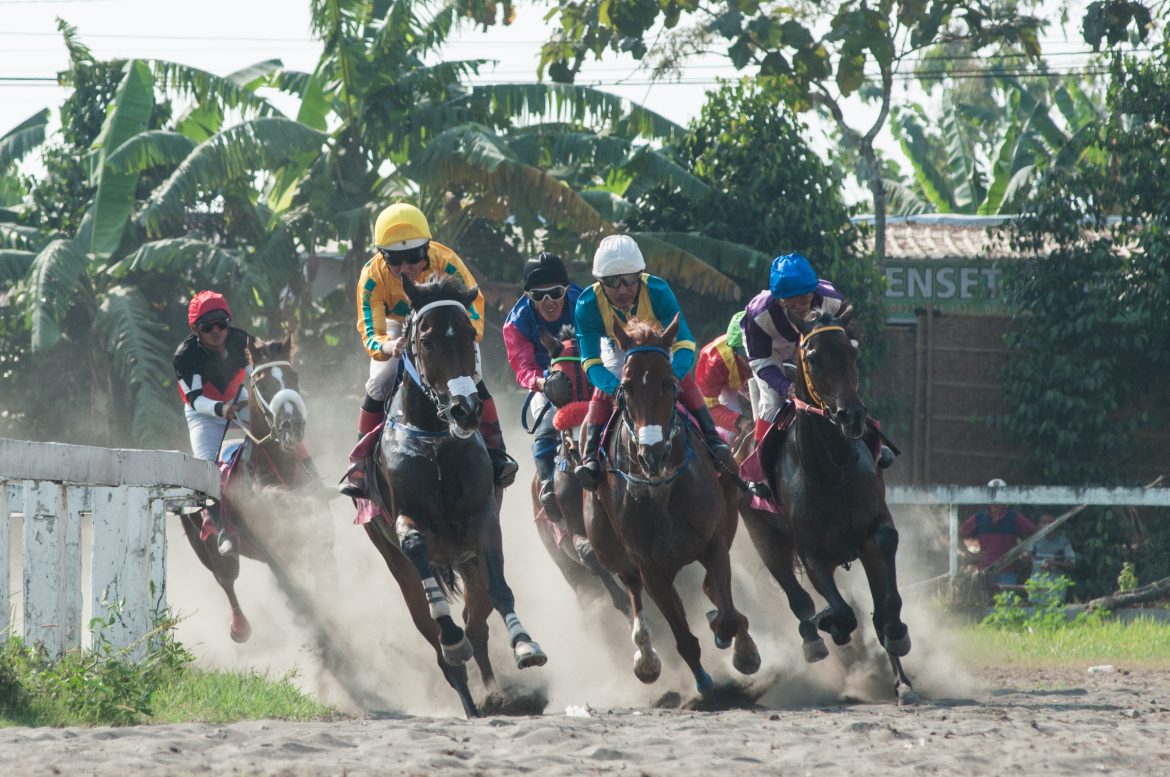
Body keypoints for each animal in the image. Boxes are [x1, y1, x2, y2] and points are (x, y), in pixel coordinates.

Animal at [362, 276, 545, 720]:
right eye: (426, 341)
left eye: (466, 333)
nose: (465, 410)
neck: (434, 442)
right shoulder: (406, 520)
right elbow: (417, 550)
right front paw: (451, 638)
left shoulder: (481, 520)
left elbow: (499, 589)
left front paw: (524, 643)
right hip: (395, 562)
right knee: (437, 639)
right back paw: (467, 692)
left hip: (467, 560)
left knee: (476, 623)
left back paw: (494, 694)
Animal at [585, 315, 758, 692]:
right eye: (626, 387)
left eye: (669, 384)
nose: (652, 454)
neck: (659, 491)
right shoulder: (651, 568)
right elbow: (683, 637)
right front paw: (702, 681)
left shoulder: (713, 543)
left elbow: (727, 615)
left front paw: (741, 649)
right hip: (609, 547)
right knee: (632, 589)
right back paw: (645, 657)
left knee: (712, 590)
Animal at [739, 306, 912, 702]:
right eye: (814, 358)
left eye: (851, 352)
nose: (852, 415)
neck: (833, 471)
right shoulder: (812, 553)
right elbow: (840, 612)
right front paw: (829, 625)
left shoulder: (873, 531)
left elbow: (884, 602)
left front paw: (898, 646)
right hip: (762, 534)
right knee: (796, 596)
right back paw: (814, 636)